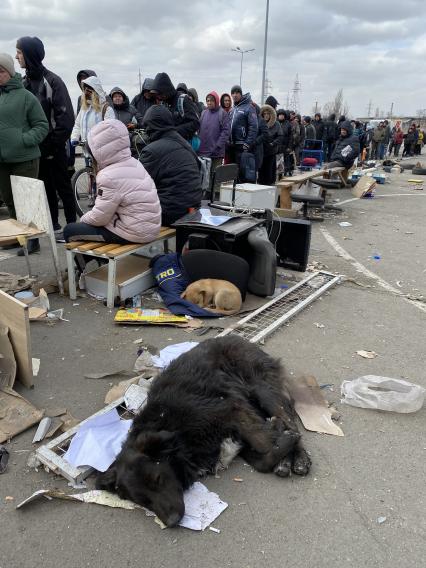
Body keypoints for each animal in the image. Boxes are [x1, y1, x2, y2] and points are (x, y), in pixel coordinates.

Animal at [95, 336, 310, 524]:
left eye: (158, 479)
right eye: (142, 501)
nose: (172, 522)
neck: (174, 429)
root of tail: (237, 338)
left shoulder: (232, 411)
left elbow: (264, 441)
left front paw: (283, 438)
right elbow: (262, 460)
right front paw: (279, 447)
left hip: (262, 389)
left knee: (290, 420)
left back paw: (299, 458)